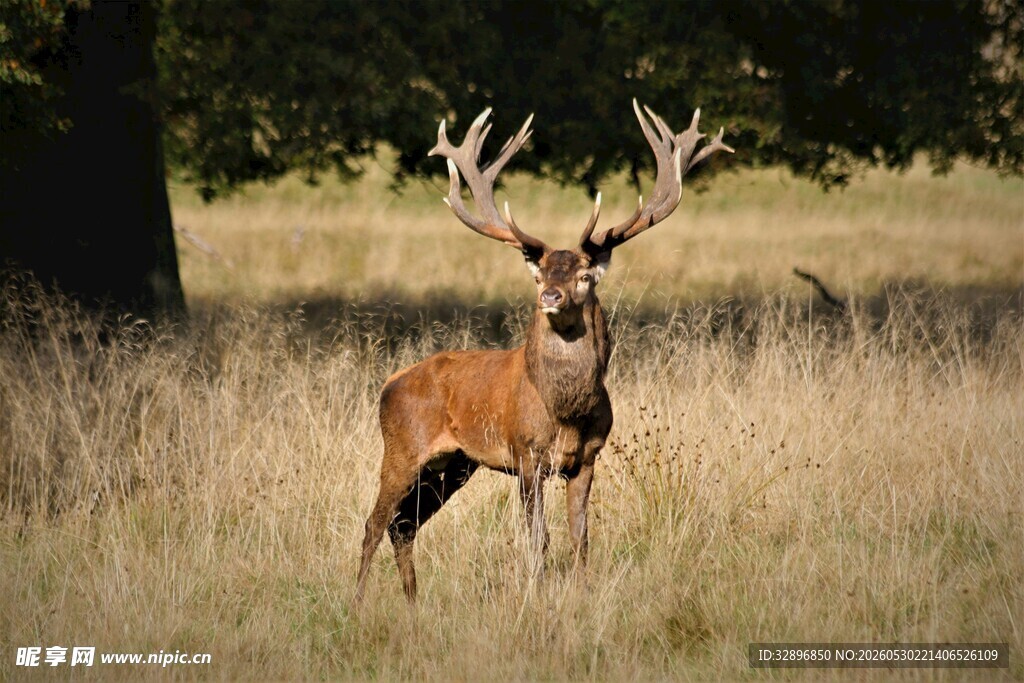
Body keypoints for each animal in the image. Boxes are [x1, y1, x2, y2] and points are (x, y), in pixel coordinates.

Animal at [355, 99, 732, 602]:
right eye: (538, 276)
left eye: (585, 276)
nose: (550, 296)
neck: (565, 411)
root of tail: (388, 385)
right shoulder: (526, 454)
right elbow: (539, 538)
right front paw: (536, 595)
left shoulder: (587, 458)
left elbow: (580, 535)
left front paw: (581, 592)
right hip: (401, 447)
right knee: (374, 522)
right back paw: (357, 602)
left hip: (452, 465)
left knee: (404, 525)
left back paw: (414, 601)